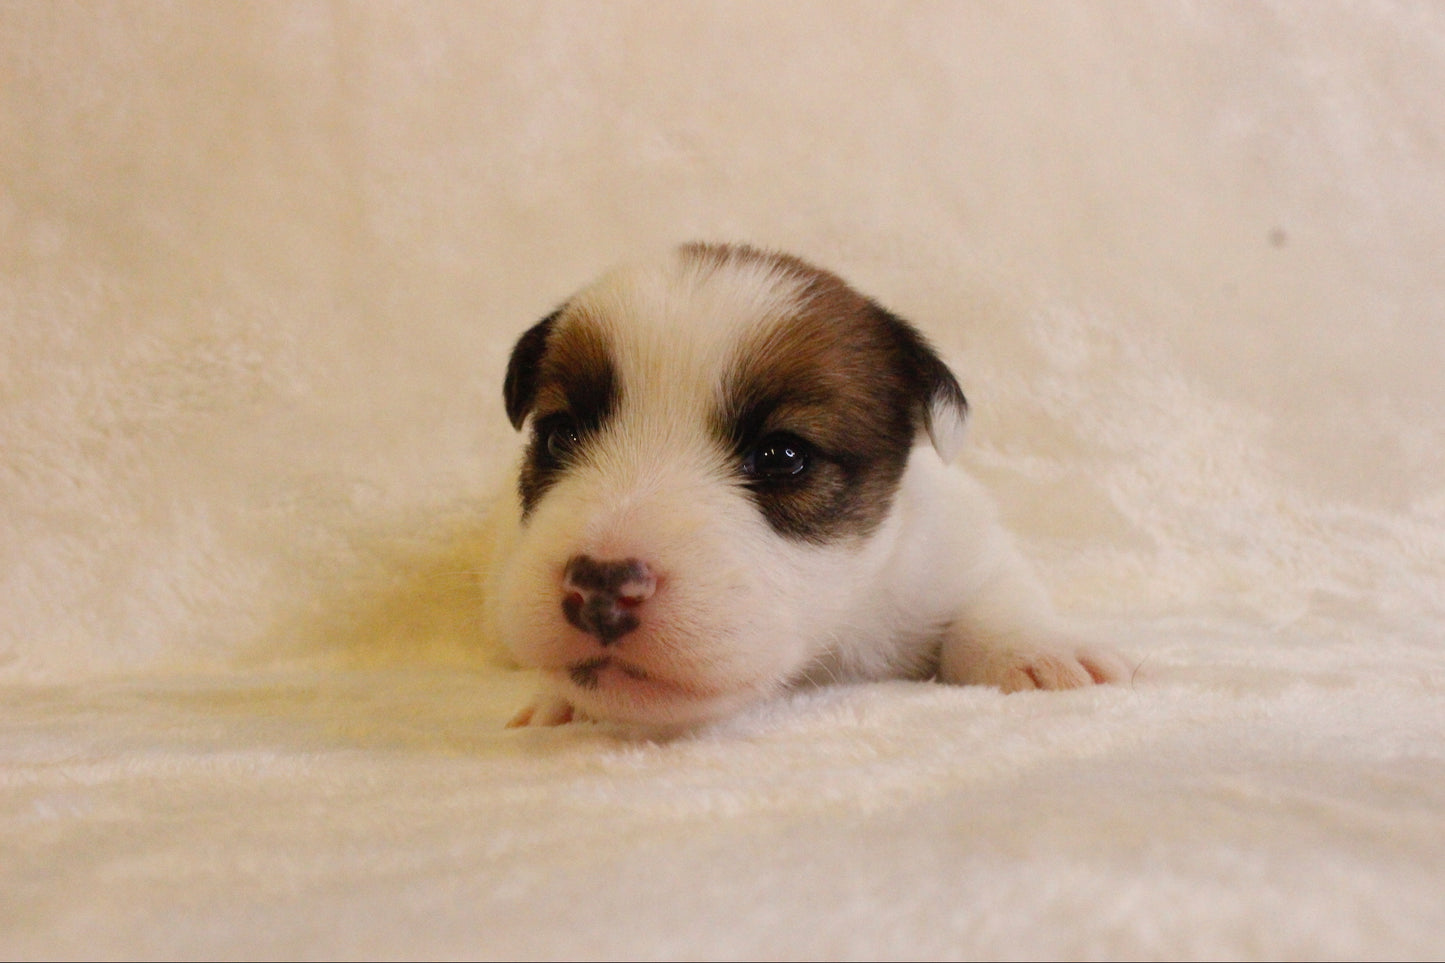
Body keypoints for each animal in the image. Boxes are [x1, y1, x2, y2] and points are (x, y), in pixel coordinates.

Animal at [485, 241, 1127, 728]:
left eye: (783, 456)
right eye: (560, 436)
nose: (599, 585)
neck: (836, 635)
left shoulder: (958, 550)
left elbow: (995, 600)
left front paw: (1039, 653)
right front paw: (557, 700)